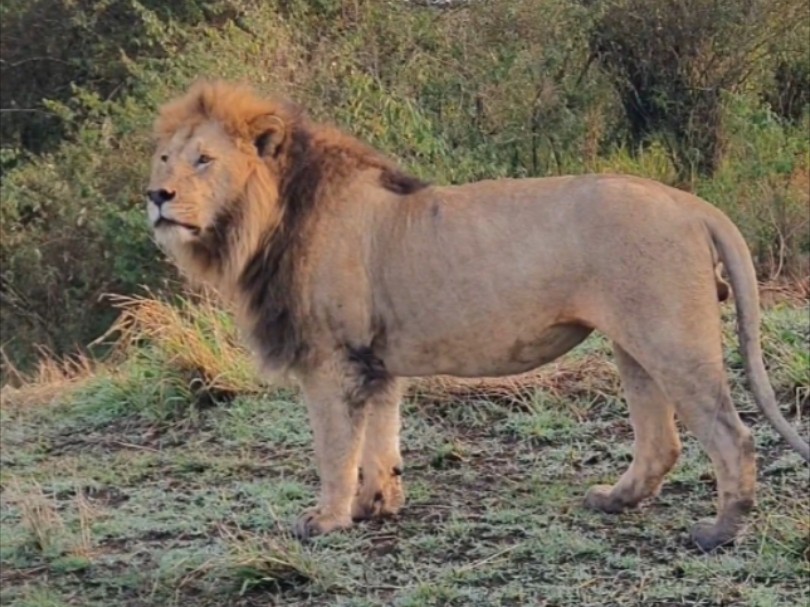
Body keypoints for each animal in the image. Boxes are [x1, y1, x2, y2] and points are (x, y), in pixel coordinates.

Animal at [148, 79, 804, 552]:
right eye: (163, 159)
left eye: (203, 160)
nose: (156, 196)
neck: (262, 224)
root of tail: (691, 204)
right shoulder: (375, 363)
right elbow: (379, 441)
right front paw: (375, 506)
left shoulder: (332, 360)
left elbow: (335, 449)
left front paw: (327, 519)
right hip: (634, 344)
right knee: (661, 441)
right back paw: (613, 500)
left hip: (672, 340)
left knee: (733, 437)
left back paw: (718, 533)